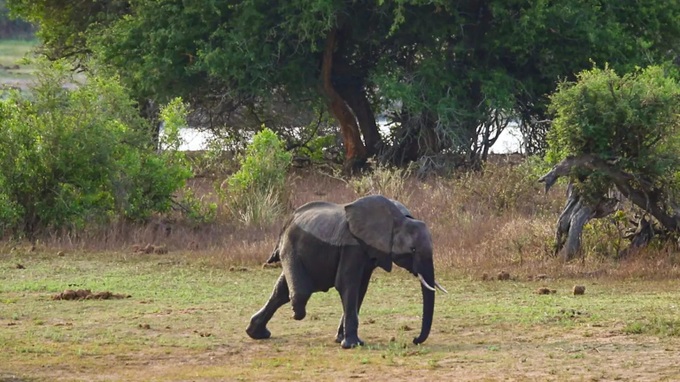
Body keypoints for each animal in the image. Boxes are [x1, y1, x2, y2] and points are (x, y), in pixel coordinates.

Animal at [244, 195, 446, 348]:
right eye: (413, 250)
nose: (414, 340)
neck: (398, 220)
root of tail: (287, 222)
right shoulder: (352, 247)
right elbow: (347, 285)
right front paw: (352, 345)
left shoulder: (369, 252)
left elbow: (361, 289)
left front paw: (341, 339)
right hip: (291, 246)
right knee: (298, 292)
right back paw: (294, 314)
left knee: (281, 292)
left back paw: (257, 333)